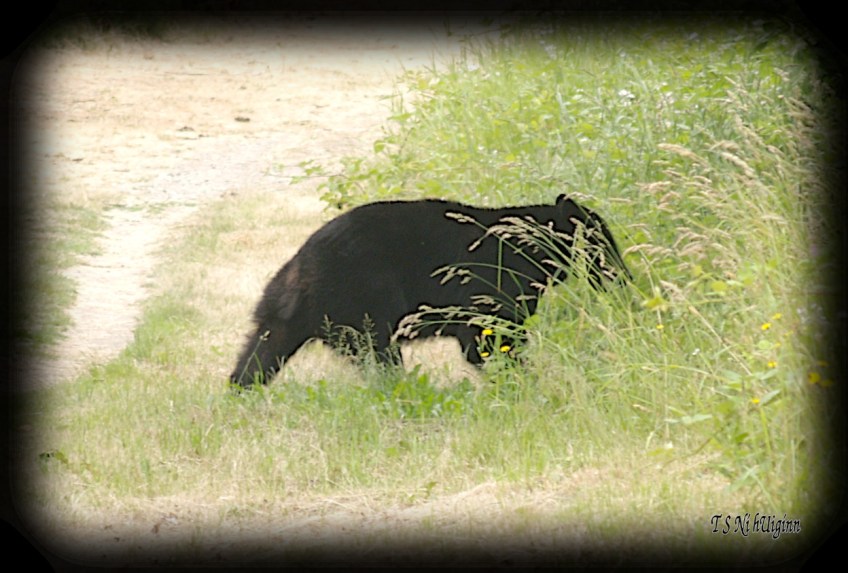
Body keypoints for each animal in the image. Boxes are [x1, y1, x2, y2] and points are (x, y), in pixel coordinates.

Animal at [230, 194, 630, 388]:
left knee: (260, 352)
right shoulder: (491, 283)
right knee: (379, 352)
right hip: (364, 298)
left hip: (281, 315)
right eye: (604, 241)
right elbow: (490, 337)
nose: (624, 276)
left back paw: (241, 391)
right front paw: (523, 377)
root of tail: (299, 273)